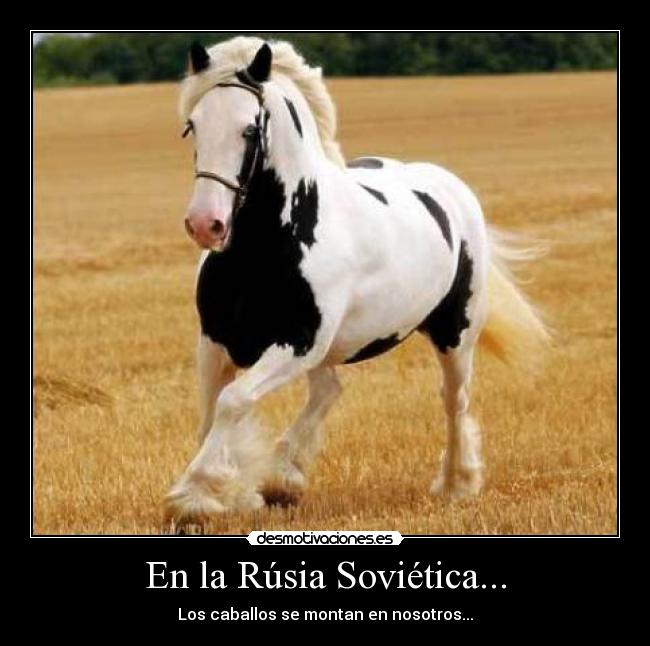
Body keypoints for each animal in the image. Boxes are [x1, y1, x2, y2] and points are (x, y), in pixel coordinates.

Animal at [163, 37, 550, 528]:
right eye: (192, 126)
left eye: (249, 129)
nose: (205, 224)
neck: (268, 246)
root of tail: (451, 187)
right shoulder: (216, 341)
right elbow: (211, 411)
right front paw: (232, 492)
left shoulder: (297, 343)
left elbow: (232, 402)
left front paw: (193, 496)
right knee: (330, 389)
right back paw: (284, 479)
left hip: (455, 333)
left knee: (453, 399)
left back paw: (456, 484)